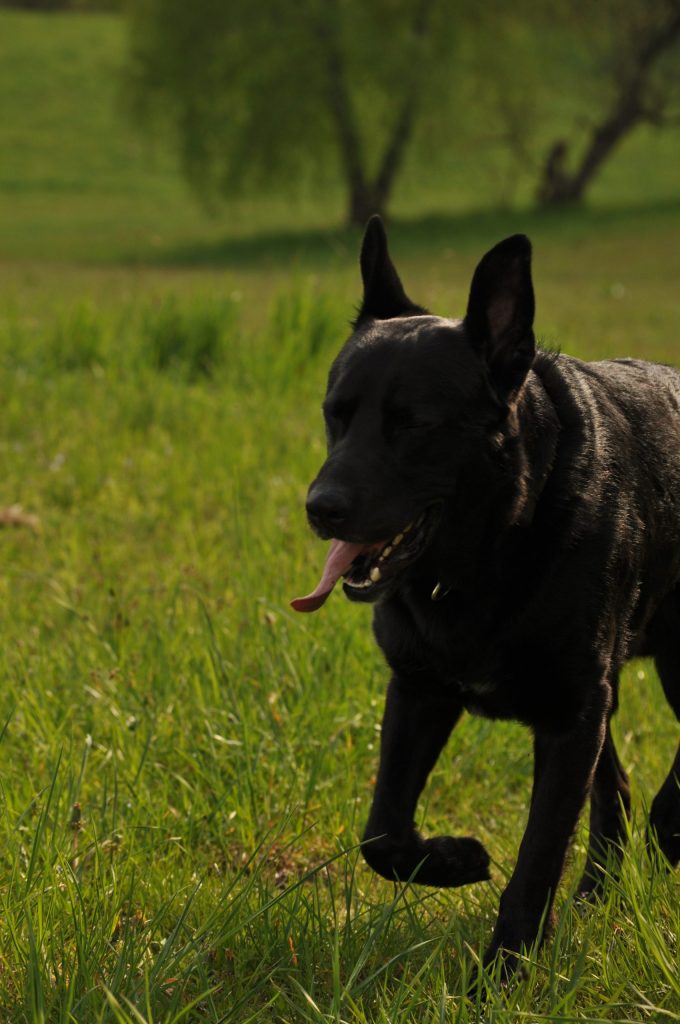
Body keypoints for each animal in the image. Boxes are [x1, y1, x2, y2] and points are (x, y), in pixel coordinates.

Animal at [292, 216, 680, 971]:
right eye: (334, 414)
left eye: (412, 423)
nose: (320, 508)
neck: (496, 544)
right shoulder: (421, 688)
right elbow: (382, 832)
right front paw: (454, 860)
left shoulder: (572, 715)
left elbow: (536, 860)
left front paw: (504, 973)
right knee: (617, 791)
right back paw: (597, 896)